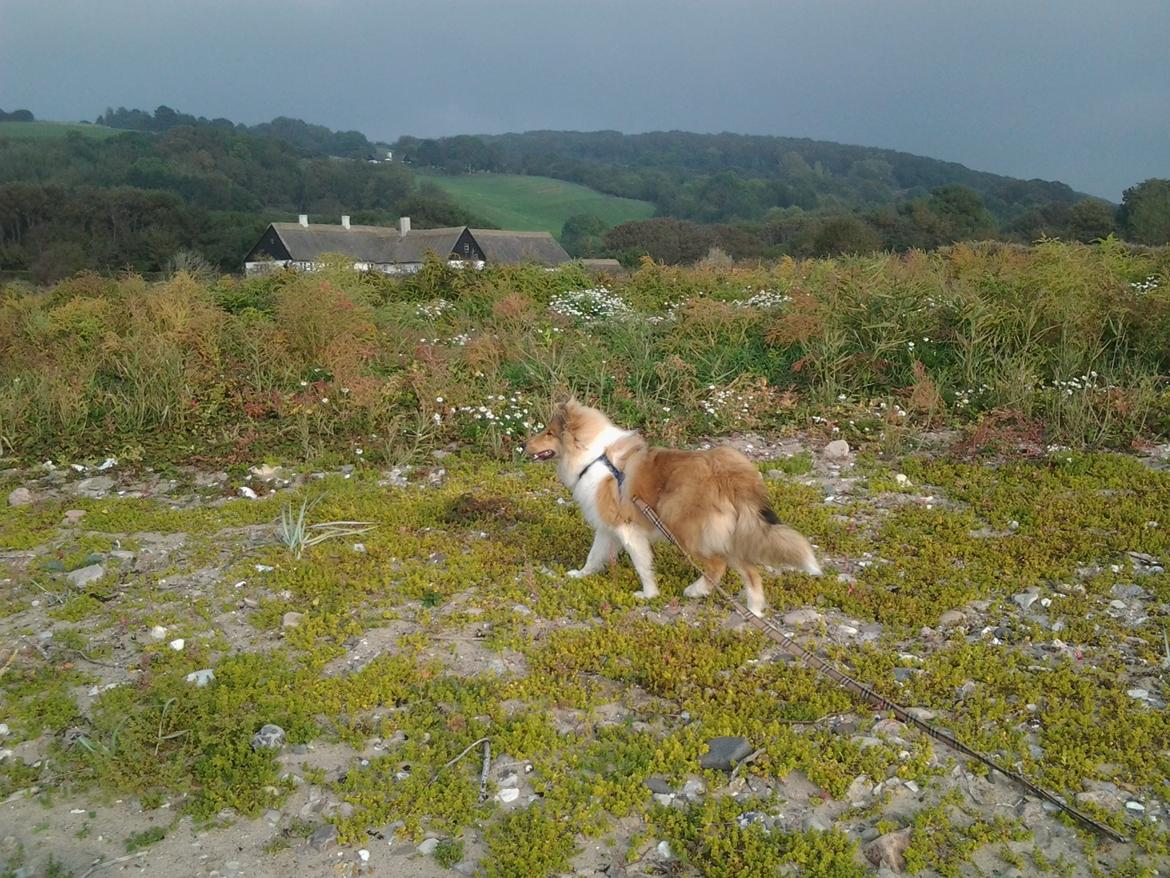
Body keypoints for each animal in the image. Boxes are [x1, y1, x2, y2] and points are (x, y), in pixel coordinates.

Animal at [524, 400, 823, 618]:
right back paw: (754, 609)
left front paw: (649, 594)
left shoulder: (626, 528)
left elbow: (642, 564)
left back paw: (695, 591)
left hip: (683, 526)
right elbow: (593, 556)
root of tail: (729, 474)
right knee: (748, 570)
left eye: (549, 432)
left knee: (718, 565)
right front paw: (580, 575)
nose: (523, 445)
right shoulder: (607, 528)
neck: (596, 457)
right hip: (726, 532)